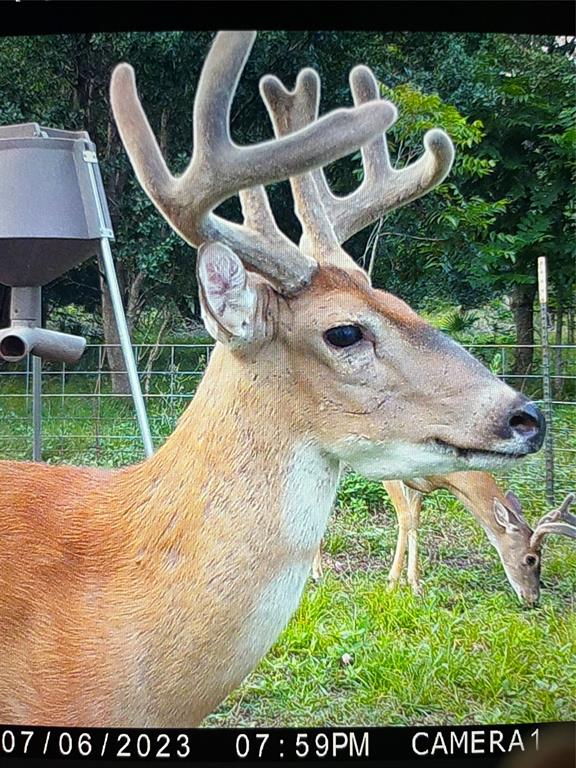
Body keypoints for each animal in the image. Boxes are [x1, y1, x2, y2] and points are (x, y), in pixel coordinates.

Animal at [316, 468, 576, 608]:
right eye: (531, 559)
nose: (533, 599)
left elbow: (414, 521)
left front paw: (415, 585)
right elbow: (405, 518)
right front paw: (391, 584)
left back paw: (317, 572)